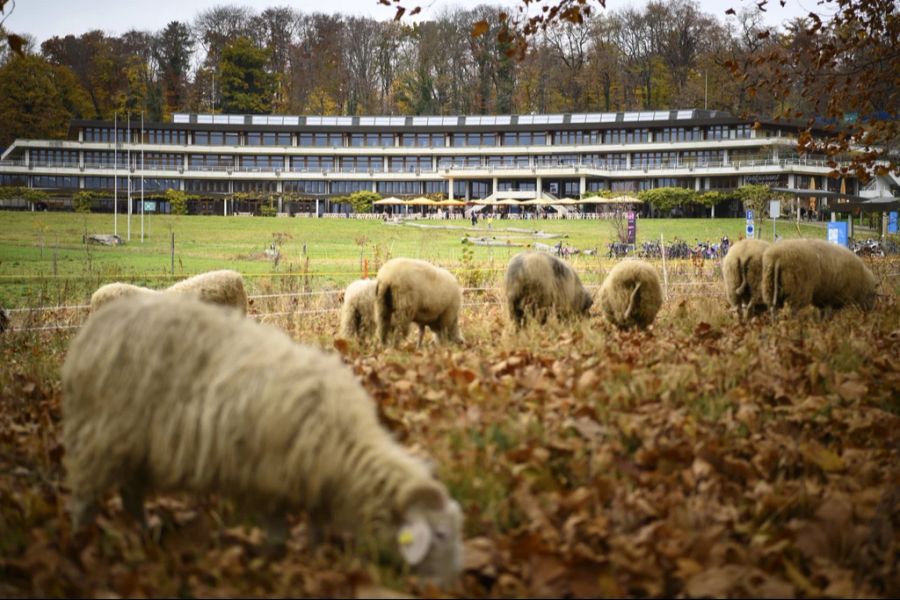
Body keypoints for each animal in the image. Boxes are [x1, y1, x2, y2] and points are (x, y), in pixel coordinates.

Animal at [61, 296, 464, 584]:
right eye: (441, 535)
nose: (448, 587)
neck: (347, 451)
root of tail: (91, 332)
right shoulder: (272, 479)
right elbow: (278, 533)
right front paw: (276, 561)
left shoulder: (313, 482)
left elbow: (315, 529)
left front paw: (315, 556)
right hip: (101, 436)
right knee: (85, 496)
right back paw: (80, 541)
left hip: (135, 447)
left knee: (131, 496)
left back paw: (146, 535)